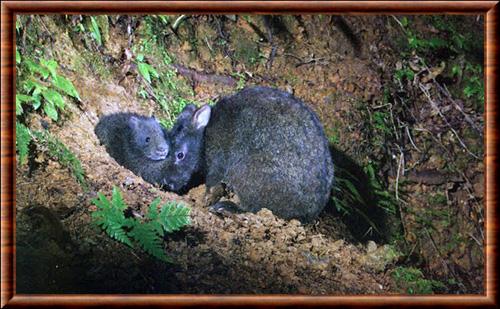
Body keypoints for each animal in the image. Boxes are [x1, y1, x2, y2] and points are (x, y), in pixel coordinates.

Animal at [162, 86, 334, 221]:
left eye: (180, 155)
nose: (167, 184)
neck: (205, 135)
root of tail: (308, 214)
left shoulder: (218, 161)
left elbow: (212, 183)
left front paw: (206, 200)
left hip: (247, 173)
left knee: (254, 209)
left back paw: (226, 207)